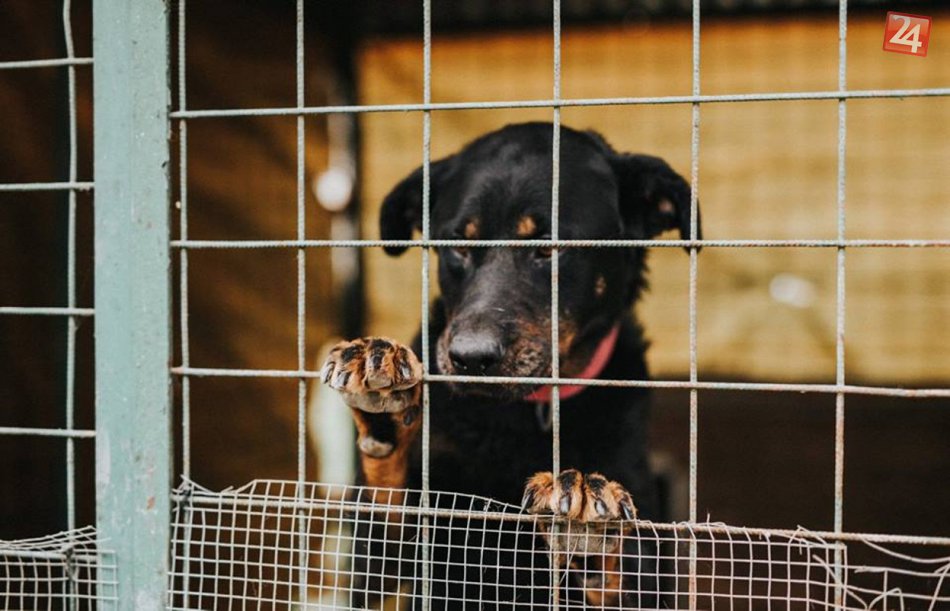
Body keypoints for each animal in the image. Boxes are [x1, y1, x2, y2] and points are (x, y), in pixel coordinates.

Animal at [321, 122, 699, 608]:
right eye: (457, 246)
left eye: (549, 250)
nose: (470, 357)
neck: (523, 414)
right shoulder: (382, 572)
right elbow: (388, 507)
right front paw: (384, 408)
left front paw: (590, 525)